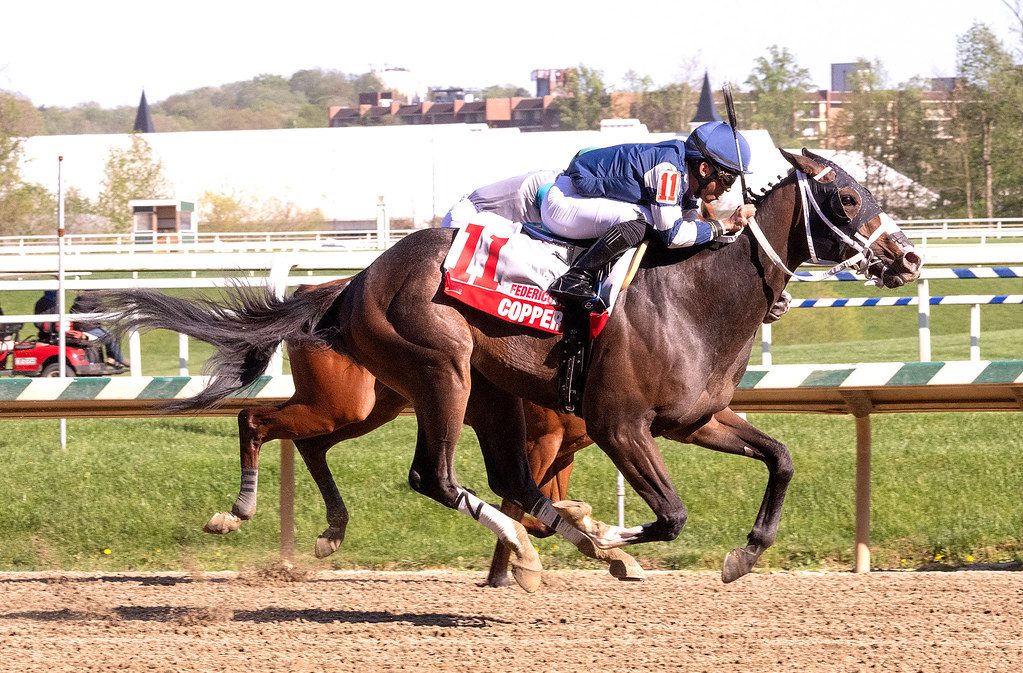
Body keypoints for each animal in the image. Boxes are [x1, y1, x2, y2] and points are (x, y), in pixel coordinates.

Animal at [99, 149, 924, 589]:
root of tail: (355, 280)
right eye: (845, 194)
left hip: (459, 396)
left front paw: (740, 555)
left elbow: (779, 458)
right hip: (440, 370)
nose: (908, 256)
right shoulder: (619, 425)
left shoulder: (694, 418)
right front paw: (605, 536)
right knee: (421, 471)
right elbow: (668, 514)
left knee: (477, 476)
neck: (693, 295)